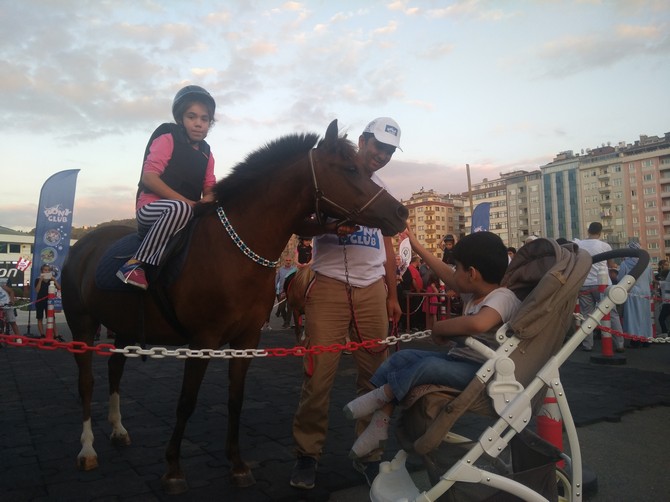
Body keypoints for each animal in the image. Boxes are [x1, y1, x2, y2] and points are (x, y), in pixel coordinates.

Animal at [60, 119, 408, 494]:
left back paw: (118, 429)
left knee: (114, 371)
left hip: (123, 327)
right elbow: (186, 402)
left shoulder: (246, 339)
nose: (401, 211)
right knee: (86, 382)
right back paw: (87, 448)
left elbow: (236, 400)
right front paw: (173, 468)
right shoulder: (202, 340)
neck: (233, 249)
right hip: (82, 325)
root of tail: (82, 246)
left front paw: (238, 465)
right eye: (350, 169)